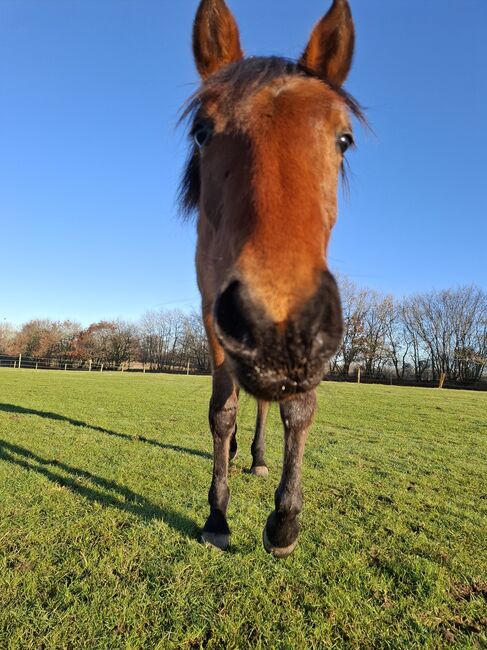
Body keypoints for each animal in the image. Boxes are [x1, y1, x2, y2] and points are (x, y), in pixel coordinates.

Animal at [181, 0, 364, 556]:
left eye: (344, 139)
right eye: (202, 131)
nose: (280, 330)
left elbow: (297, 409)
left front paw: (285, 520)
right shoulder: (213, 312)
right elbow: (222, 412)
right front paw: (217, 516)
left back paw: (259, 458)